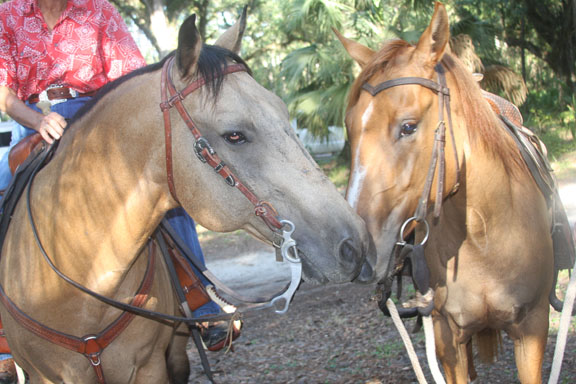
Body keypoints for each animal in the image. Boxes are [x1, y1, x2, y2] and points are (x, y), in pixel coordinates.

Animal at [336, 3, 568, 384]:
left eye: (408, 126)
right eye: (350, 130)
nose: (356, 249)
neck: (484, 233)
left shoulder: (533, 328)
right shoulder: (448, 335)